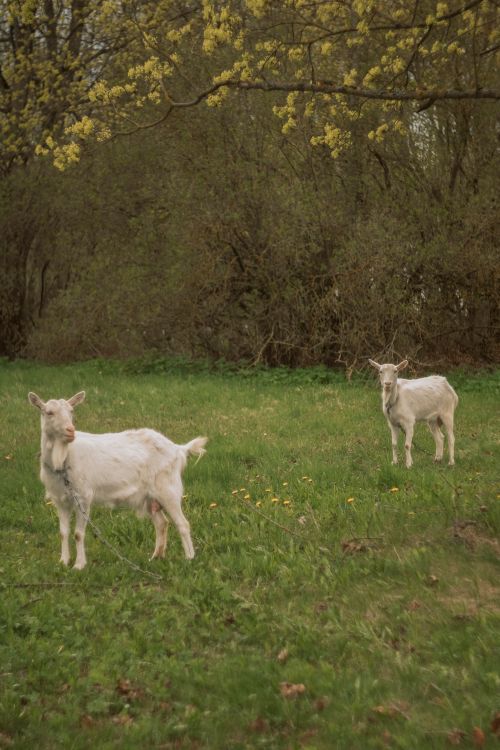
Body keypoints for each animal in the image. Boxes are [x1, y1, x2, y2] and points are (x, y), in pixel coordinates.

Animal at [29, 391, 207, 569]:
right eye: (49, 412)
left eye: (71, 411)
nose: (70, 431)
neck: (63, 459)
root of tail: (178, 449)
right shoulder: (60, 500)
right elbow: (63, 533)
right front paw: (63, 562)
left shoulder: (84, 496)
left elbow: (78, 534)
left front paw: (79, 565)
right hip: (150, 497)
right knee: (162, 523)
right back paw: (156, 557)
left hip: (168, 489)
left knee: (182, 523)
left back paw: (189, 558)